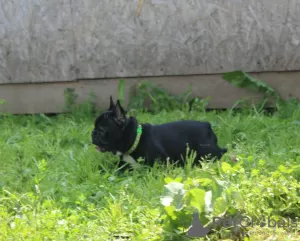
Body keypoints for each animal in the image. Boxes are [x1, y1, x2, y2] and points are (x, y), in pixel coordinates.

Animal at [91, 96, 227, 171]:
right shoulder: (123, 164)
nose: (93, 133)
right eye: (95, 126)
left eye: (101, 130)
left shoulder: (159, 164)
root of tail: (207, 126)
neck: (135, 139)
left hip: (206, 154)